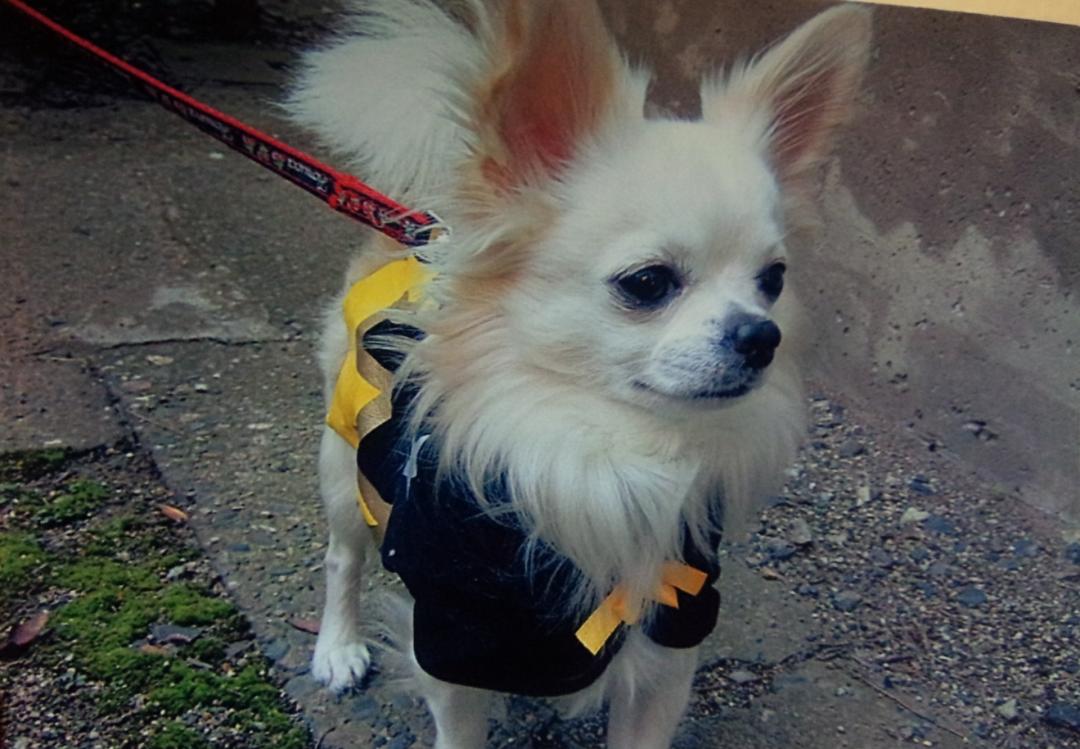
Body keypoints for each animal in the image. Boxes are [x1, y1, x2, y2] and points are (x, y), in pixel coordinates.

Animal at [289, 1, 871, 746]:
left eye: (773, 280)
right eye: (647, 283)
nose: (760, 335)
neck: (609, 449)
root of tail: (418, 225)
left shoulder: (671, 633)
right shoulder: (452, 638)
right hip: (344, 463)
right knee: (344, 555)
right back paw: (337, 645)